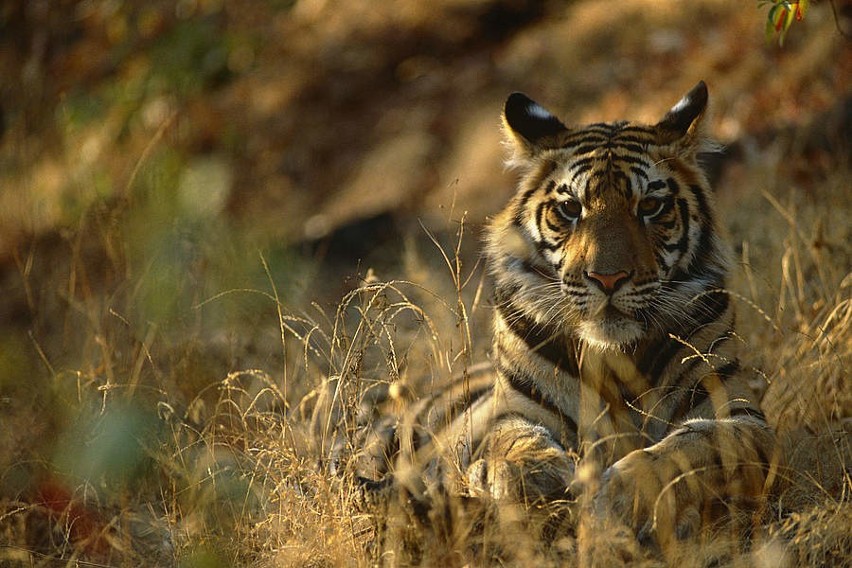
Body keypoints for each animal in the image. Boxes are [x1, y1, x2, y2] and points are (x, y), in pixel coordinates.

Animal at [338, 82, 780, 552]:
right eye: (571, 208)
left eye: (650, 206)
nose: (608, 278)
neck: (614, 358)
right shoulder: (514, 411)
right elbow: (513, 444)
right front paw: (535, 482)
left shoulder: (740, 415)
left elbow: (691, 446)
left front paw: (620, 497)